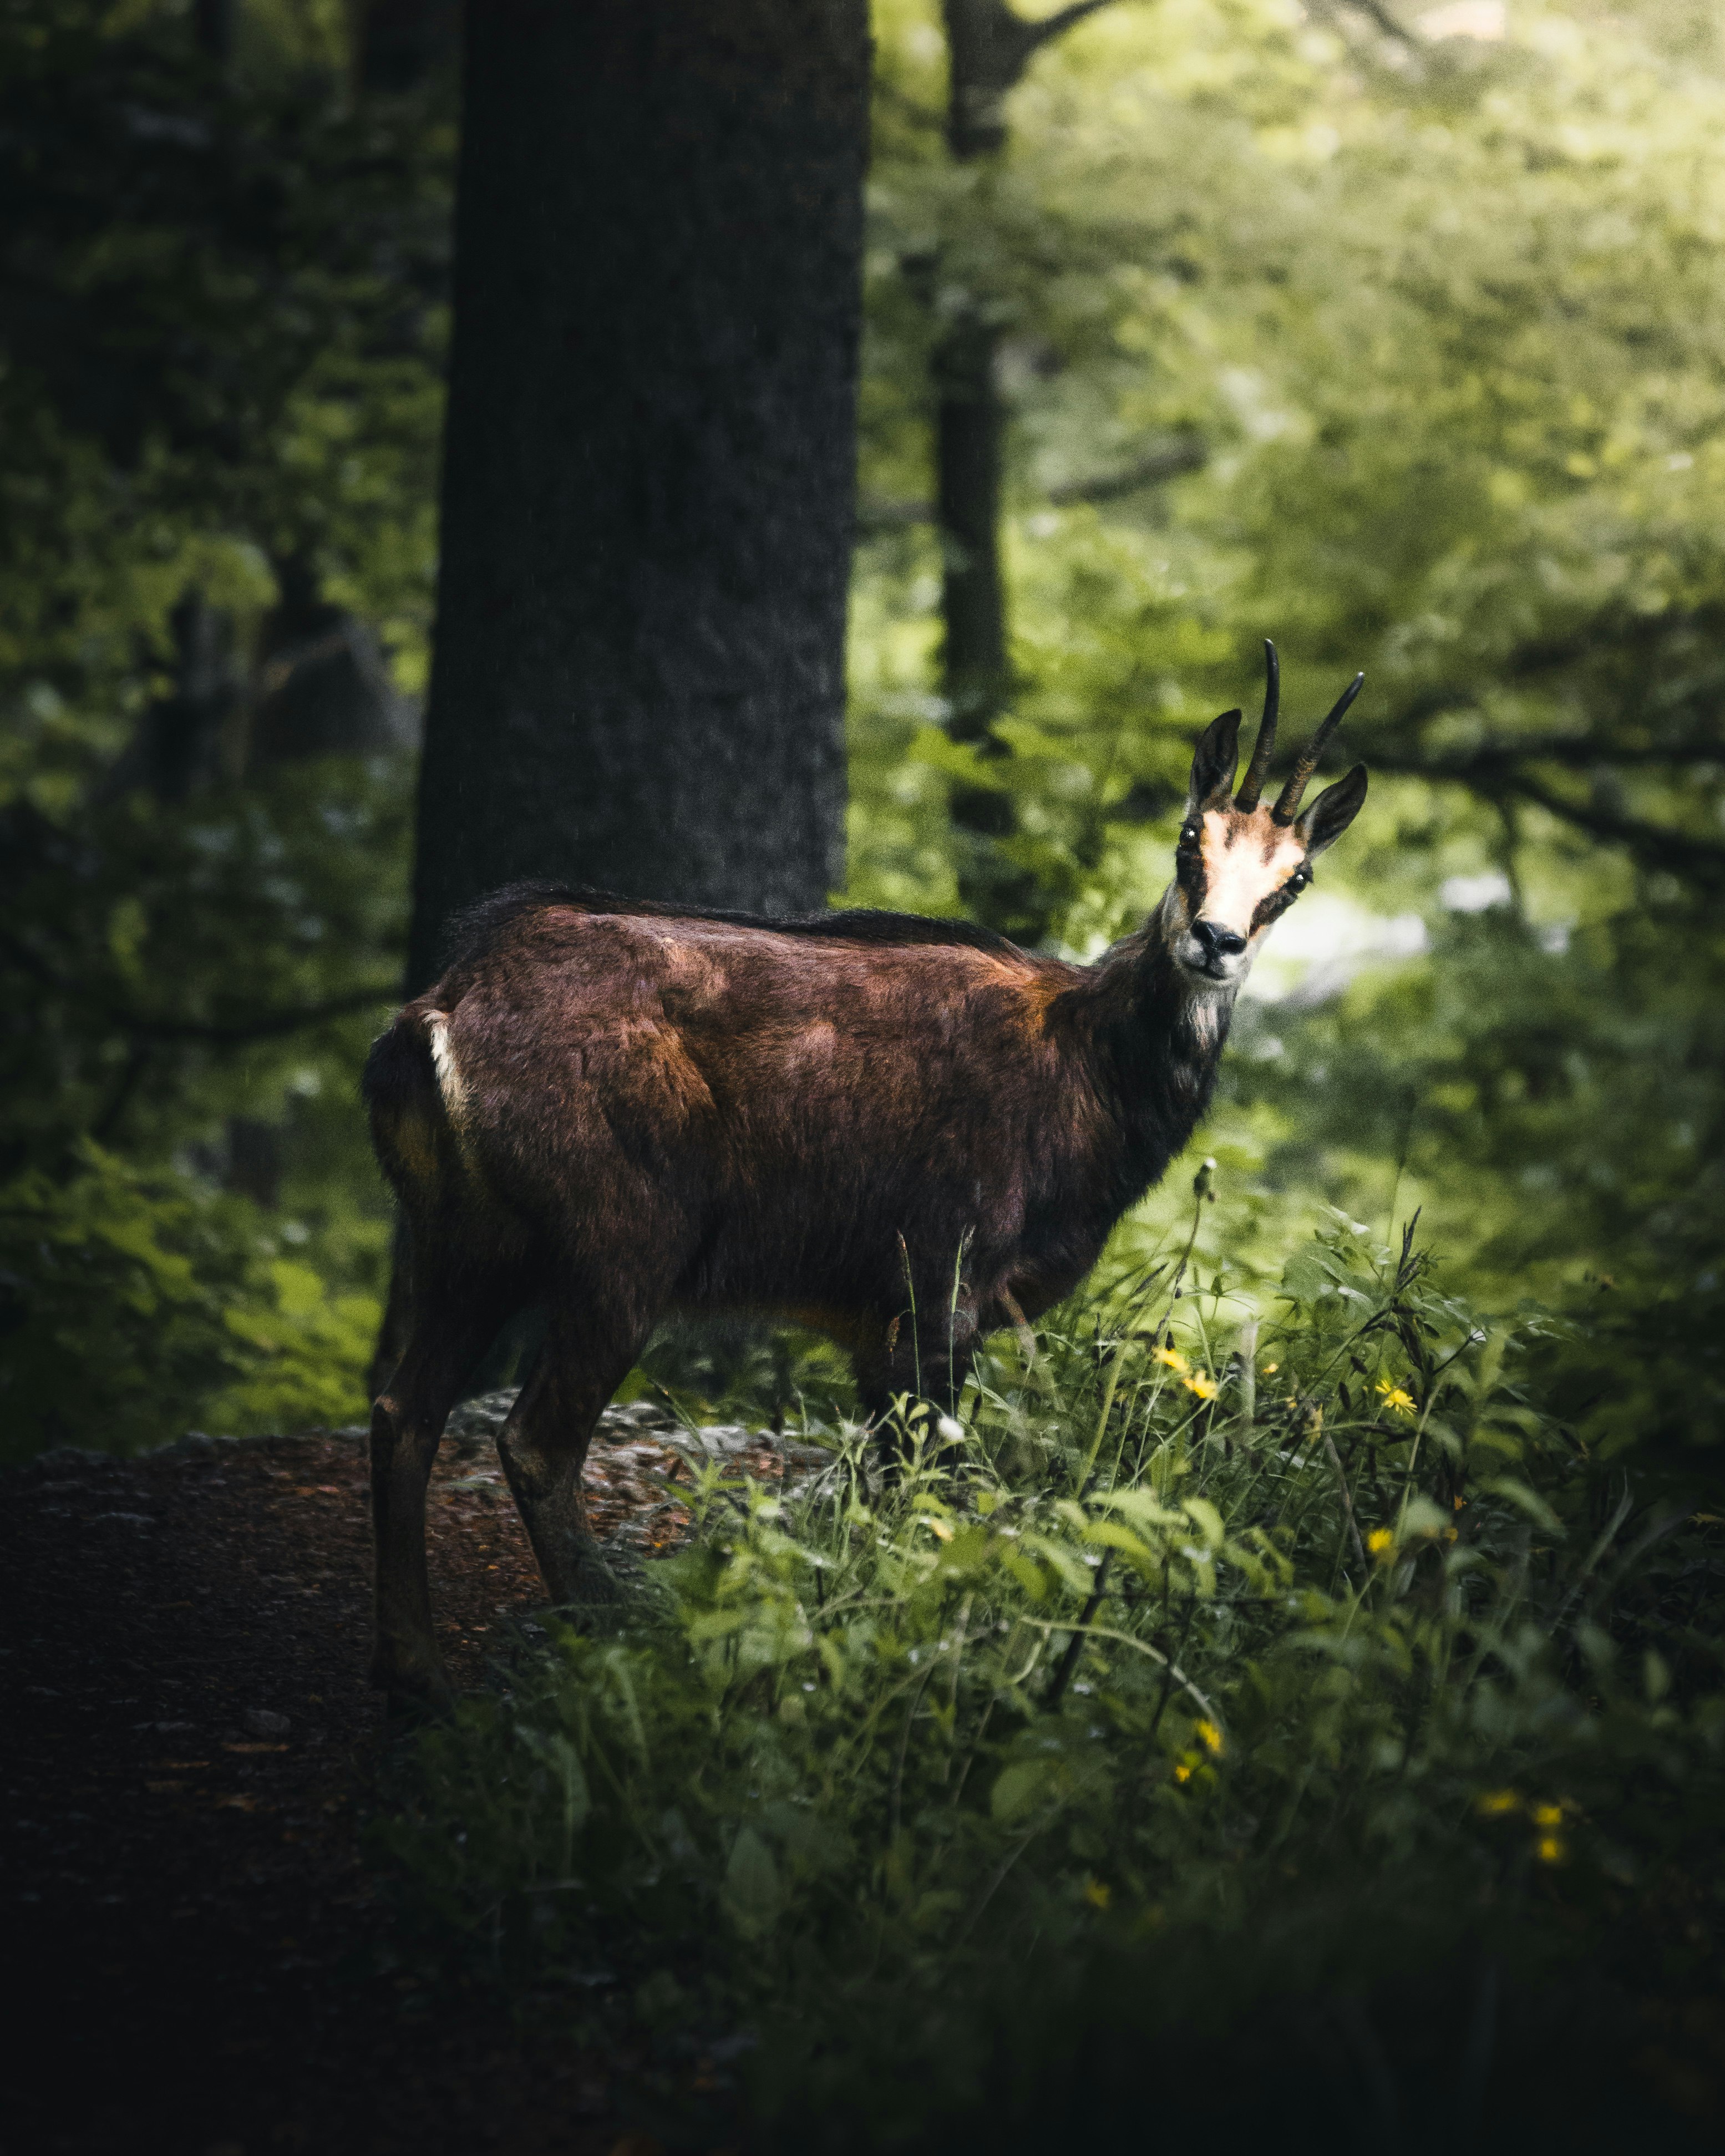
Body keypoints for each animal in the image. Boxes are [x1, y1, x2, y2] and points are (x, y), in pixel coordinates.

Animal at [360, 638, 1362, 1698]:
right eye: (1187, 836)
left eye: (1295, 877)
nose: (1216, 941)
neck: (1090, 1076)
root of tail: (438, 1014)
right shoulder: (939, 1284)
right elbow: (936, 1492)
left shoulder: (872, 1322)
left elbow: (892, 1491)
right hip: (619, 1248)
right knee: (535, 1441)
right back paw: (606, 1639)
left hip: (467, 1244)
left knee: (403, 1411)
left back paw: (414, 1668)